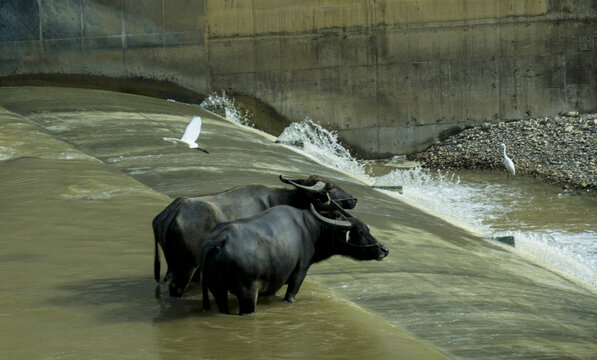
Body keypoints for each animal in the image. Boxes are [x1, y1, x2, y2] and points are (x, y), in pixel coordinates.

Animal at [200, 204, 386, 314]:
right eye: (360, 232)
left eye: (367, 229)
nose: (384, 249)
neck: (311, 230)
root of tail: (220, 240)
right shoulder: (299, 273)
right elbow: (290, 295)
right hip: (247, 291)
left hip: (216, 288)